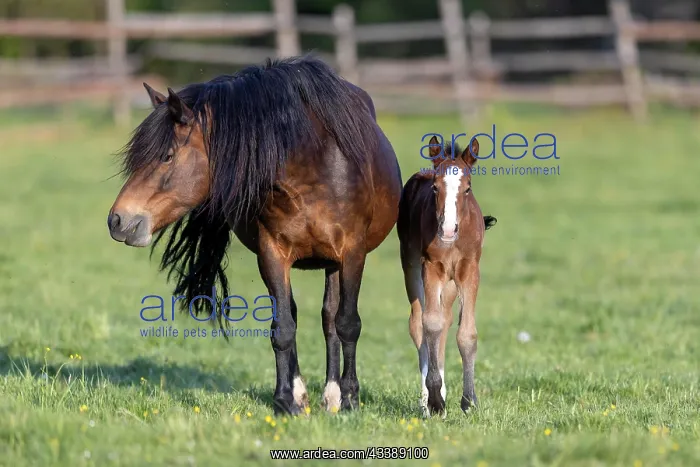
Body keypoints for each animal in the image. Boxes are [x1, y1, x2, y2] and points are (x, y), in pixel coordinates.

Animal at [107, 56, 403, 415]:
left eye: (167, 156)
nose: (118, 220)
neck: (310, 165)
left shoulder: (352, 253)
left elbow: (347, 323)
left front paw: (350, 399)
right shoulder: (271, 254)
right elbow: (283, 327)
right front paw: (285, 401)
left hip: (335, 262)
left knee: (331, 318)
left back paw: (333, 396)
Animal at [397, 135, 496, 417]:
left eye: (468, 188)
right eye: (435, 188)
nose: (448, 229)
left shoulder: (469, 270)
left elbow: (466, 333)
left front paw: (469, 401)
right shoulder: (431, 267)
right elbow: (430, 323)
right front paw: (434, 401)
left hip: (451, 284)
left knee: (446, 319)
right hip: (411, 264)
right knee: (419, 322)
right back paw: (428, 401)